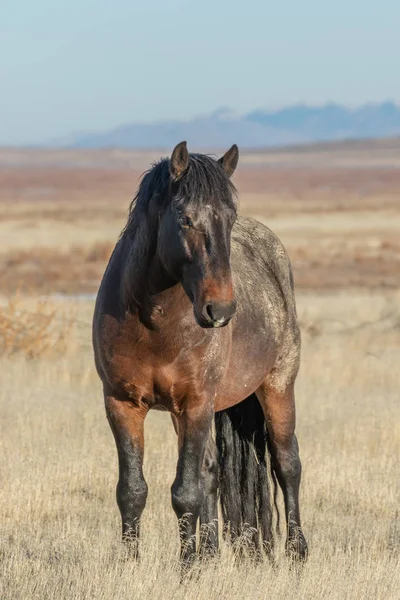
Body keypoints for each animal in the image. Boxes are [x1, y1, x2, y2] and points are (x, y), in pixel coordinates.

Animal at [92, 142, 308, 568]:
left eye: (230, 217)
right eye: (186, 218)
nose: (220, 310)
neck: (154, 322)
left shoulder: (195, 403)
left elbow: (185, 492)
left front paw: (187, 568)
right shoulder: (122, 403)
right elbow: (133, 490)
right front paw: (132, 564)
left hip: (277, 386)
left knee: (286, 464)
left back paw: (296, 552)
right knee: (211, 473)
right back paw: (210, 552)